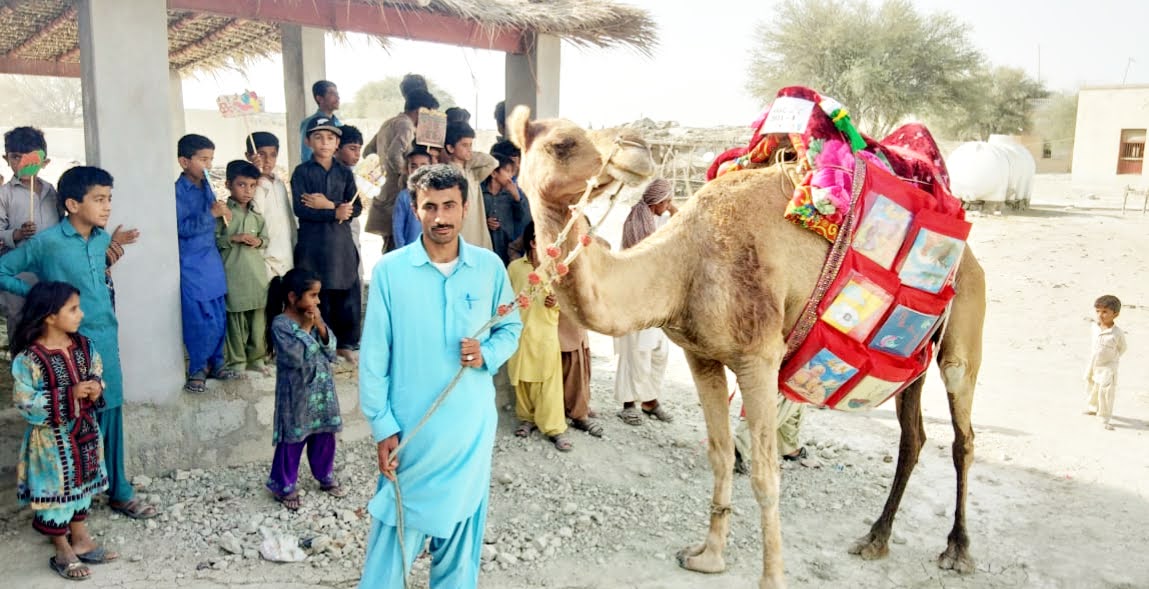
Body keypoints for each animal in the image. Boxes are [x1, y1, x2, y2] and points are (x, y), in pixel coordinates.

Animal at [507, 106, 986, 589]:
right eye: (561, 144)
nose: (638, 148)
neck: (683, 266)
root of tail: (969, 254)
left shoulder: (759, 358)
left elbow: (764, 474)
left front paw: (771, 578)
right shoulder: (700, 355)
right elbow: (720, 455)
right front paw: (708, 557)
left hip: (964, 327)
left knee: (962, 432)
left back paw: (958, 550)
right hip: (911, 360)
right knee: (913, 436)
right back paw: (875, 538)